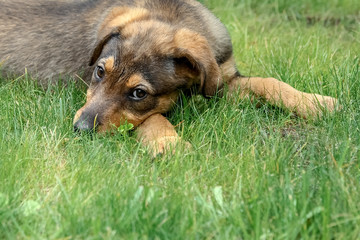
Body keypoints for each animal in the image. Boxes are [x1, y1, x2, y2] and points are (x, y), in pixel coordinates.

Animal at [0, 0, 338, 156]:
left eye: (139, 93)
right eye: (99, 71)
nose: (79, 130)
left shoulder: (223, 80)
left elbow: (268, 82)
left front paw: (316, 103)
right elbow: (154, 118)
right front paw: (170, 145)